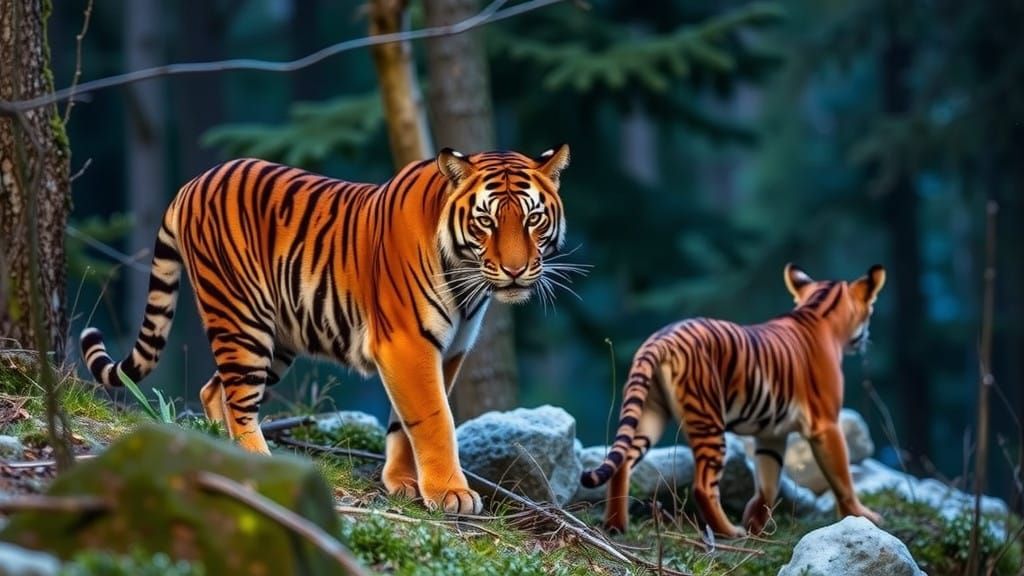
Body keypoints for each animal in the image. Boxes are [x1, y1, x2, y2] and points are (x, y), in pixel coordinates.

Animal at [80, 145, 575, 514]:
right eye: (486, 220)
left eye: (532, 218)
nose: (515, 271)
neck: (467, 281)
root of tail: (192, 183)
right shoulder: (408, 343)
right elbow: (434, 418)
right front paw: (451, 493)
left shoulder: (448, 349)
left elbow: (405, 421)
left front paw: (402, 483)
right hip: (243, 319)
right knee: (238, 399)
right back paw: (257, 462)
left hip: (277, 338)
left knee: (214, 390)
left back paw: (226, 452)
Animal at [581, 264, 886, 537]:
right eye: (870, 310)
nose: (866, 338)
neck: (818, 310)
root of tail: (660, 339)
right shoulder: (826, 424)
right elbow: (842, 478)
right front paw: (863, 516)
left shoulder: (772, 434)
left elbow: (768, 482)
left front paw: (756, 525)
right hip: (708, 422)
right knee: (703, 487)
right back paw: (729, 531)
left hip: (649, 413)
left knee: (622, 464)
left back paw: (615, 526)